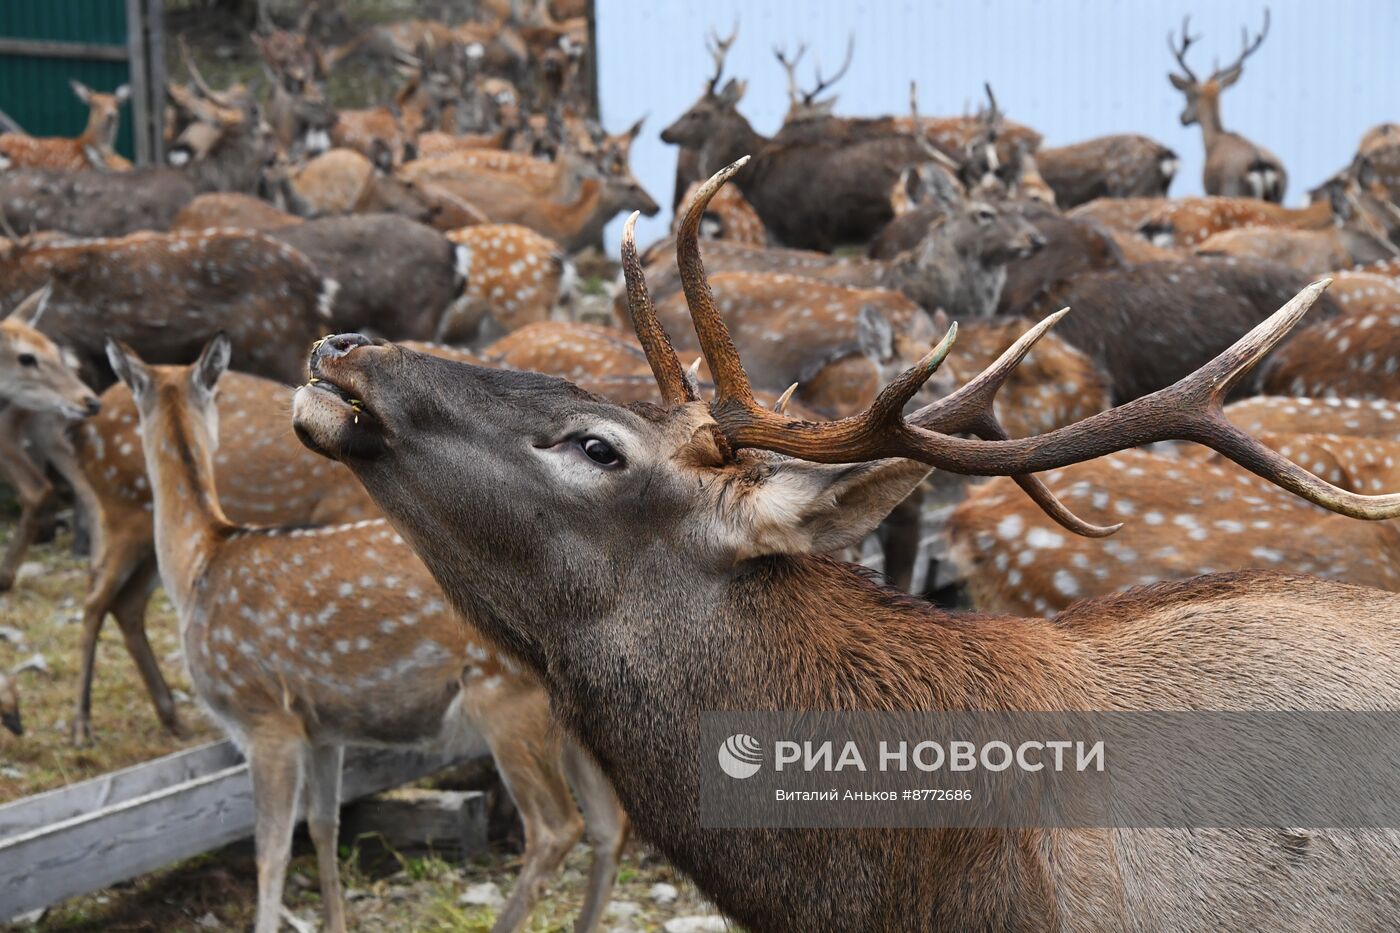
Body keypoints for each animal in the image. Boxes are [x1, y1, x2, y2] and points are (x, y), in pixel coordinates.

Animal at [102, 337, 618, 930]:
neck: (199, 566)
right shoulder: (323, 728)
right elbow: (323, 825)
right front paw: (335, 920)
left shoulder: (264, 716)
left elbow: (271, 851)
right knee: (610, 826)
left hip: (508, 698)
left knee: (559, 828)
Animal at [1164, 11, 1282, 201]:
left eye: (1187, 96)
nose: (1181, 118)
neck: (1213, 141)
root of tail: (1260, 165)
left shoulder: (1209, 190)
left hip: (1233, 190)